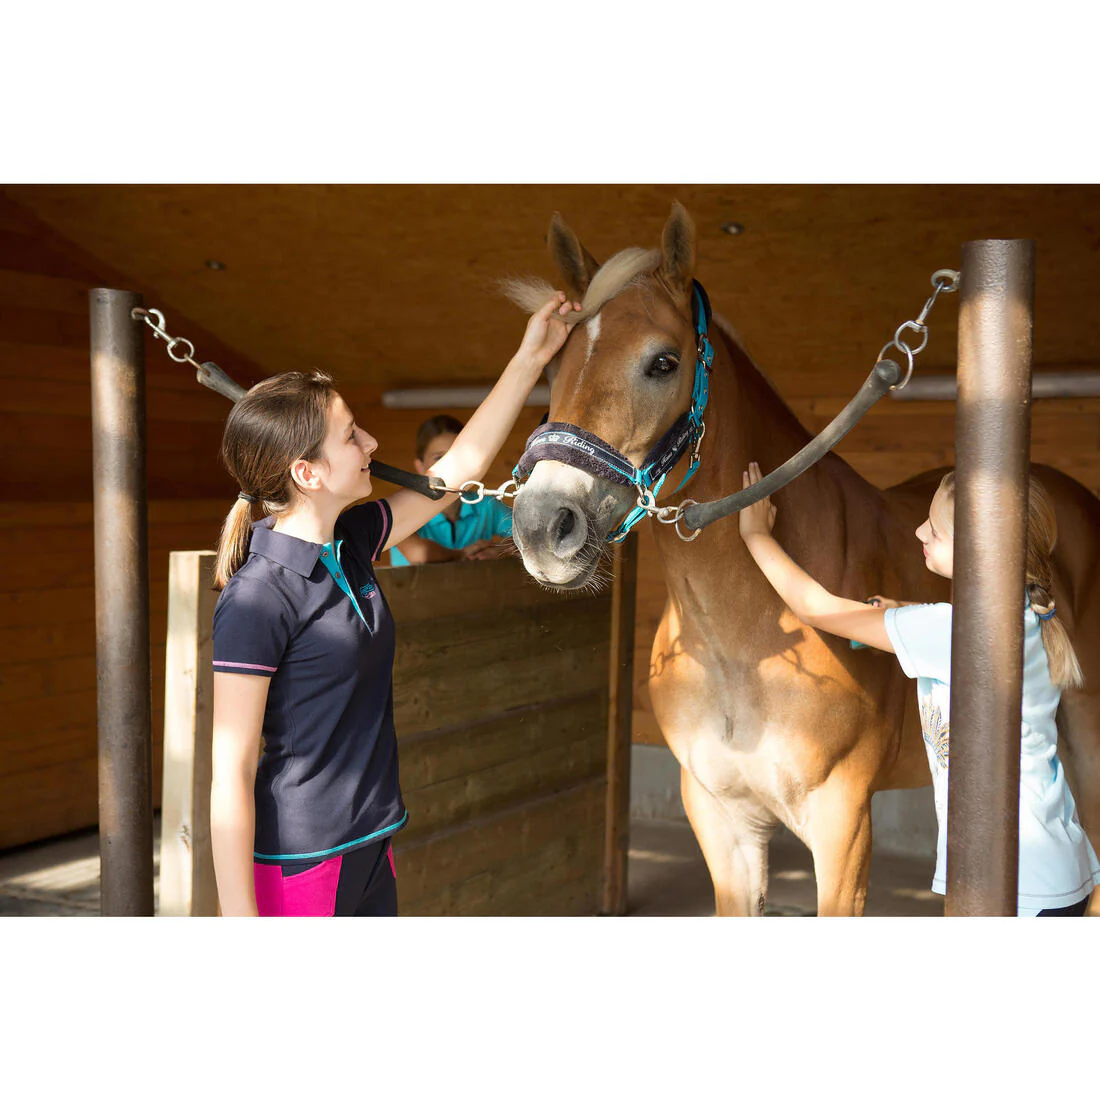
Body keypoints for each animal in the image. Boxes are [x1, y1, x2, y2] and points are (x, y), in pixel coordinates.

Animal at [505, 202, 1100, 916]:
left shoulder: (842, 825)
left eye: (663, 362)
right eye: (553, 368)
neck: (740, 643)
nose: (544, 525)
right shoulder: (720, 819)